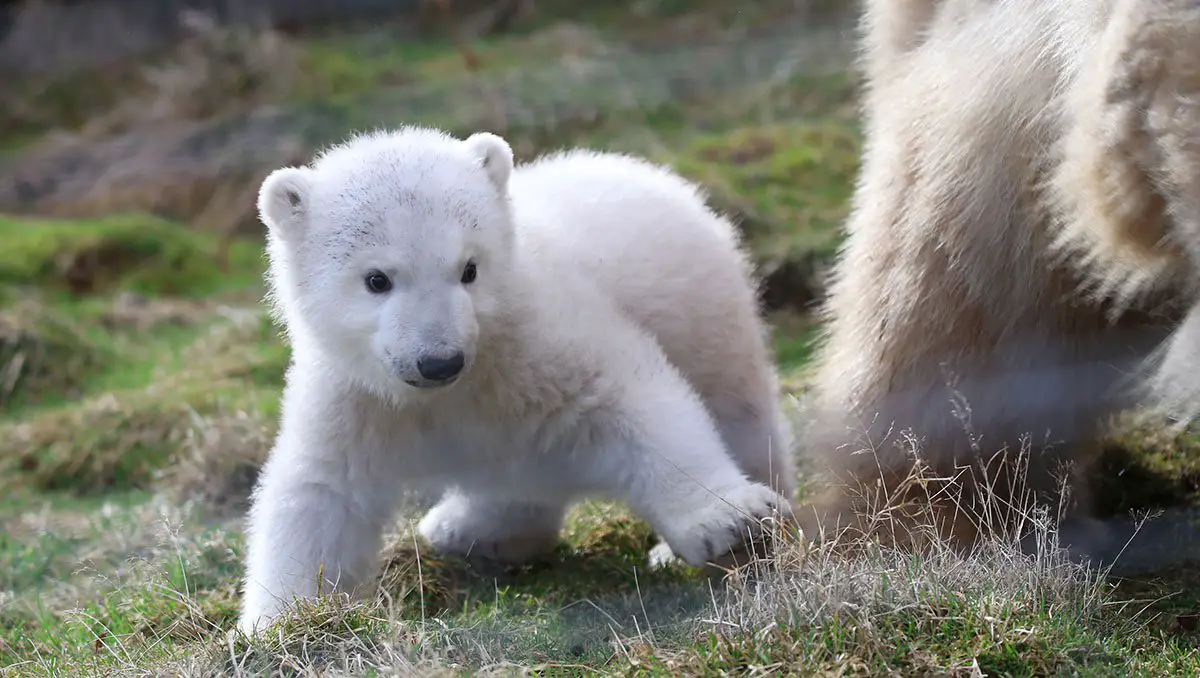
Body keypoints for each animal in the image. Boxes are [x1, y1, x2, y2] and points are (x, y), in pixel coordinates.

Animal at [235, 125, 796, 628]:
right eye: (377, 279)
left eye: (469, 268)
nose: (439, 361)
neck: (459, 388)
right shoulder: (358, 398)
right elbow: (322, 490)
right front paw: (282, 621)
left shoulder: (539, 339)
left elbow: (630, 399)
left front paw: (731, 520)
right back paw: (468, 529)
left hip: (705, 312)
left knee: (736, 407)